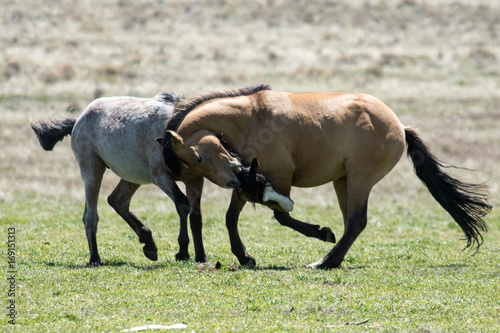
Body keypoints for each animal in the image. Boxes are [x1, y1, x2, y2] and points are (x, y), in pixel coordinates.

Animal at [162, 84, 490, 268]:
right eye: (191, 167)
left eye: (197, 158)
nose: (235, 175)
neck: (249, 119)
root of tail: (399, 125)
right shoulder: (249, 182)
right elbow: (232, 218)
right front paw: (244, 257)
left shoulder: (277, 178)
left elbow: (281, 214)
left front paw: (320, 232)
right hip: (343, 181)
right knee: (352, 223)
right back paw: (332, 259)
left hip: (359, 179)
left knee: (356, 221)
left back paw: (326, 261)